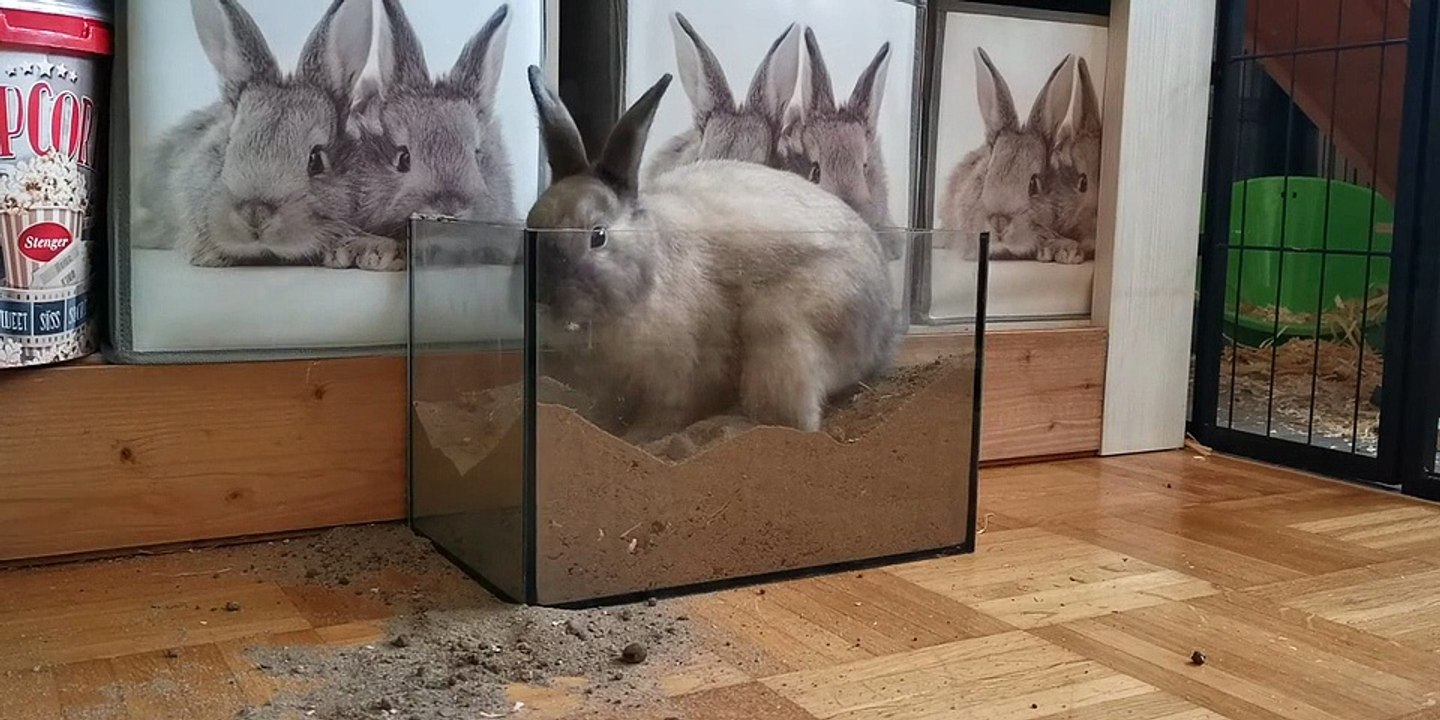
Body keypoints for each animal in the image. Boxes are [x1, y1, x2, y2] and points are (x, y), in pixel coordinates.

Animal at [525, 66, 899, 443]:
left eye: (597, 236)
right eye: (531, 223)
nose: (543, 297)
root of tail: (881, 334)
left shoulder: (682, 377)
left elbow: (666, 415)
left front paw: (640, 440)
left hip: (783, 337)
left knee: (791, 421)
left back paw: (713, 433)